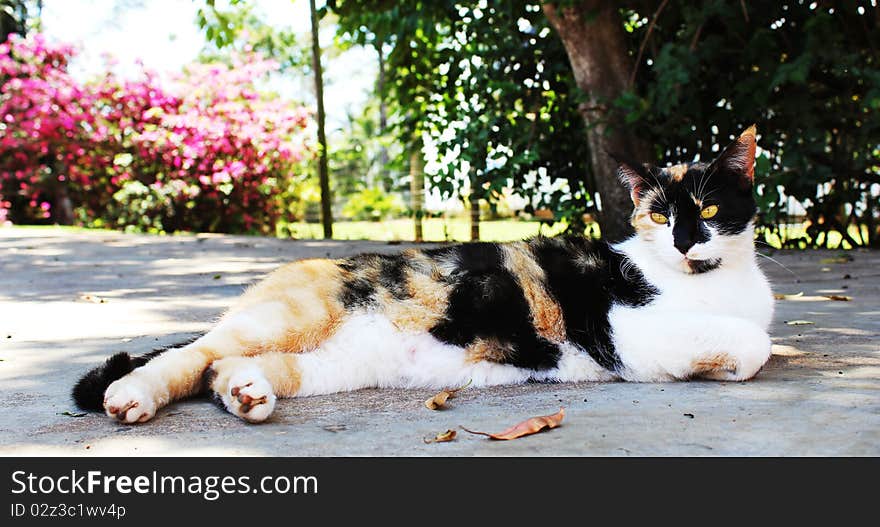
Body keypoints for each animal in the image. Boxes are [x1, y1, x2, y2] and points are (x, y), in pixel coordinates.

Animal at [74, 127, 776, 424]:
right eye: (659, 214)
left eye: (709, 209)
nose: (684, 241)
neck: (714, 282)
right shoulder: (628, 333)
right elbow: (755, 345)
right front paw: (723, 364)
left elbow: (756, 342)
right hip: (293, 316)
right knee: (190, 356)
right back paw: (132, 396)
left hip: (336, 362)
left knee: (224, 370)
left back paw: (248, 396)